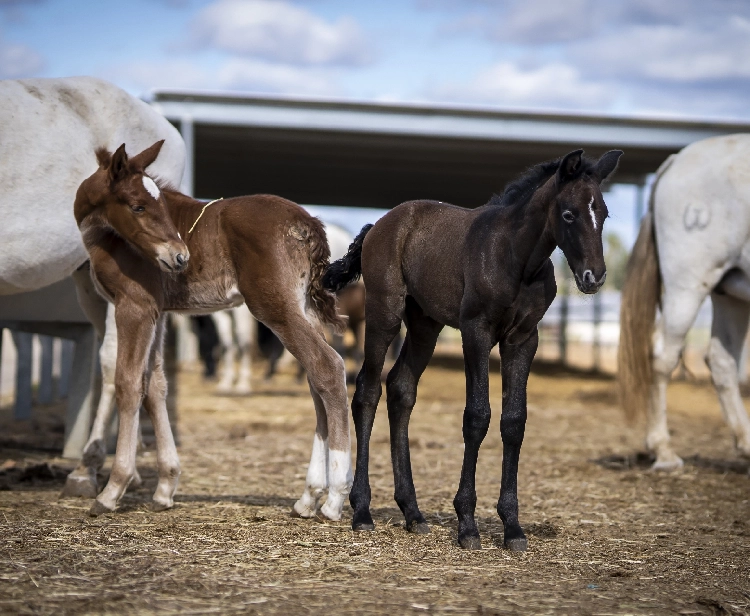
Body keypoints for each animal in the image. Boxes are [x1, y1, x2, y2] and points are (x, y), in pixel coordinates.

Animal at [72, 141, 352, 520]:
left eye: (158, 205)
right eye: (138, 206)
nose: (180, 256)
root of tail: (308, 223)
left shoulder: (133, 306)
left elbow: (127, 382)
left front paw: (114, 488)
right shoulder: (159, 313)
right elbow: (155, 384)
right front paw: (165, 486)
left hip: (274, 307)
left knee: (328, 367)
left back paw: (334, 498)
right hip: (302, 308)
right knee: (314, 378)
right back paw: (309, 497)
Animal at [326, 148, 624, 548]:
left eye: (603, 213)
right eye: (568, 214)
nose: (594, 277)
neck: (515, 258)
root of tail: (381, 224)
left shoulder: (523, 340)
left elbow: (514, 422)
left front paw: (512, 527)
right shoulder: (476, 333)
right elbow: (477, 417)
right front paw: (467, 524)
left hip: (425, 324)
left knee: (401, 390)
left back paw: (413, 512)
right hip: (383, 314)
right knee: (367, 392)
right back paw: (362, 510)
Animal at [620, 135, 750, 470]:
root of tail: (676, 160)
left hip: (731, 292)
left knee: (722, 362)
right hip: (688, 286)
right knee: (663, 358)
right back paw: (663, 451)